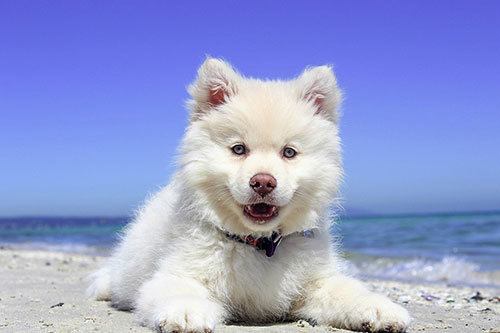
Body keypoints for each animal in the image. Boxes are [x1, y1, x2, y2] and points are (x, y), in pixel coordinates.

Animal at [88, 58, 412, 330]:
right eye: (238, 149)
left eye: (289, 152)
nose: (263, 182)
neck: (259, 244)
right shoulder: (179, 272)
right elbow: (177, 290)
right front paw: (186, 312)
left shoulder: (315, 282)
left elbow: (346, 290)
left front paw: (378, 307)